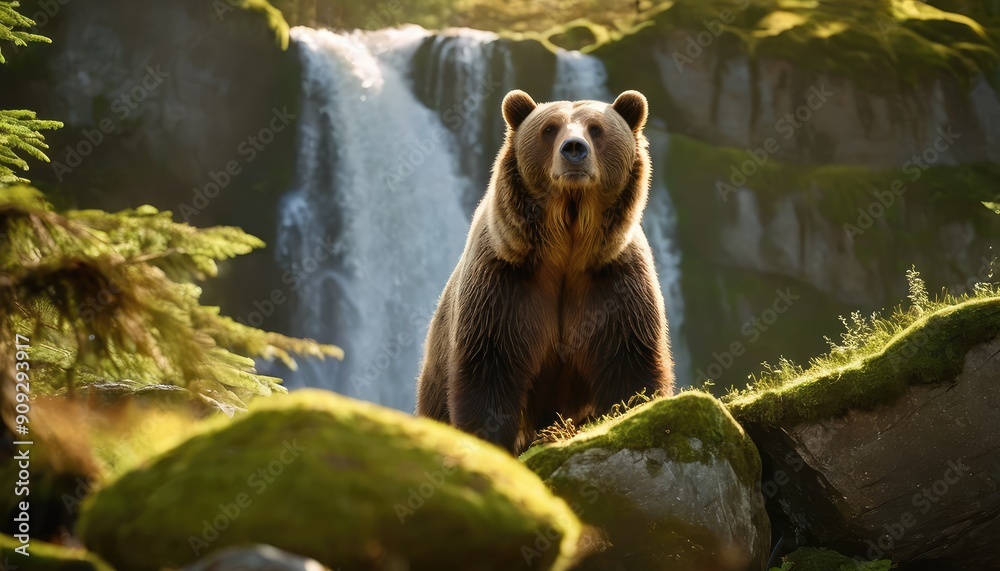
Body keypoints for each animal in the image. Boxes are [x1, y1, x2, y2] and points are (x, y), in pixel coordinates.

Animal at [416, 89, 674, 454]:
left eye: (596, 129)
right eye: (549, 128)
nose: (574, 149)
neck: (566, 247)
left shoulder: (614, 281)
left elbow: (629, 364)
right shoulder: (504, 283)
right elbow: (490, 368)